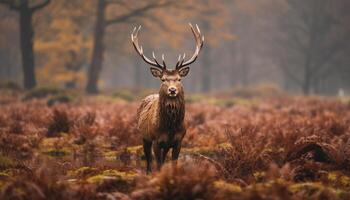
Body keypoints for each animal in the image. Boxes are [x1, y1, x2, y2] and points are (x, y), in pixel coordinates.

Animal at [131, 23, 204, 173]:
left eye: (179, 79)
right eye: (163, 79)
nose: (172, 90)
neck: (170, 128)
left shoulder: (178, 141)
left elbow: (173, 162)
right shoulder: (156, 140)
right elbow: (158, 164)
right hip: (144, 137)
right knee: (148, 160)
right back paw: (148, 172)